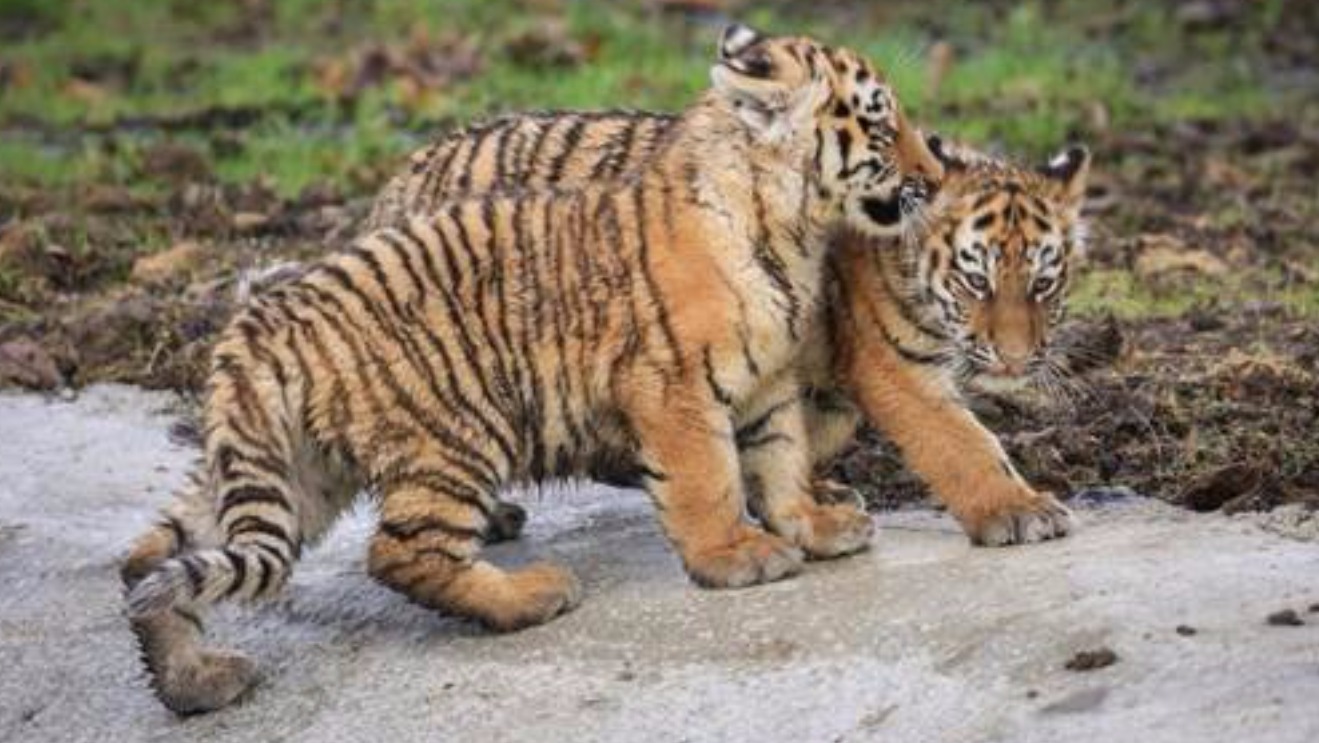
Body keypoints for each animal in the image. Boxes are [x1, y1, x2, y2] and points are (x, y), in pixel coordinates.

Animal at [120, 25, 945, 714]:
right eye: (878, 125)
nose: (934, 176)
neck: (793, 228)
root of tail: (258, 328)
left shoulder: (769, 383)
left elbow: (780, 460)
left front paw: (815, 524)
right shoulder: (673, 386)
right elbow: (707, 479)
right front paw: (733, 556)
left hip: (297, 469)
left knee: (153, 556)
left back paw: (192, 680)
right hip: (458, 427)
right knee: (400, 550)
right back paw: (532, 594)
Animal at [363, 107, 1091, 548]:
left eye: (1042, 284)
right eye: (976, 281)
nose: (1015, 359)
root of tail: (402, 176)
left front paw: (807, 495)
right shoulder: (895, 368)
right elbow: (961, 443)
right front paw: (1017, 510)